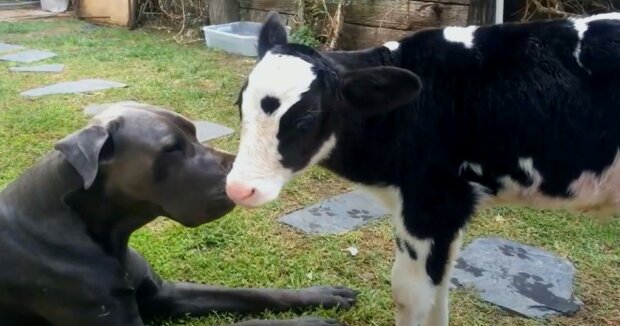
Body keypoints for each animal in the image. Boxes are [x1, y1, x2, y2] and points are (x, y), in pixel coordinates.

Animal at [0, 102, 356, 326]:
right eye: (170, 149)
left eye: (195, 132)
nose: (241, 178)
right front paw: (311, 321)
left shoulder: (164, 292)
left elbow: (252, 293)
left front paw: (324, 294)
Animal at [225, 11, 620, 326]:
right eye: (239, 104)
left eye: (306, 119)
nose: (239, 188)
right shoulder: (451, 209)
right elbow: (439, 291)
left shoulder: (430, 203)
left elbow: (409, 294)